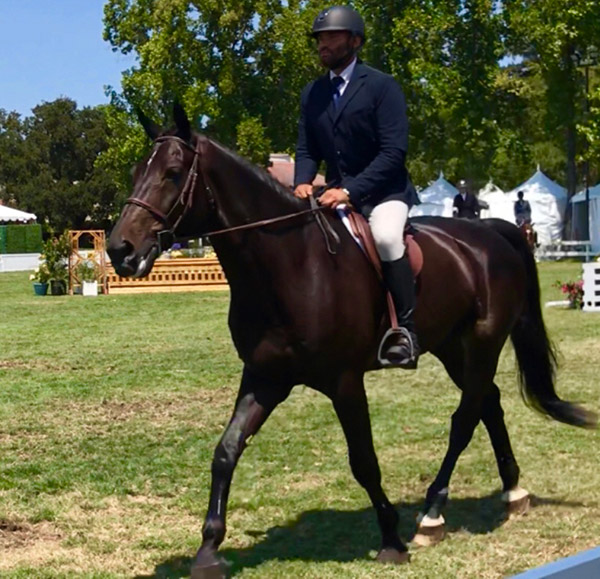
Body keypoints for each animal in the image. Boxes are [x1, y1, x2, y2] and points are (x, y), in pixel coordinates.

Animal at [106, 106, 596, 576]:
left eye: (172, 173)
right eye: (135, 171)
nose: (119, 250)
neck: (289, 265)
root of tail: (492, 232)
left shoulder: (343, 381)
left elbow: (363, 459)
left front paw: (392, 541)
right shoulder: (265, 377)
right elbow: (226, 450)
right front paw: (209, 550)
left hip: (482, 344)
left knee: (465, 418)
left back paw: (431, 515)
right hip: (453, 348)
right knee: (488, 404)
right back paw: (513, 492)